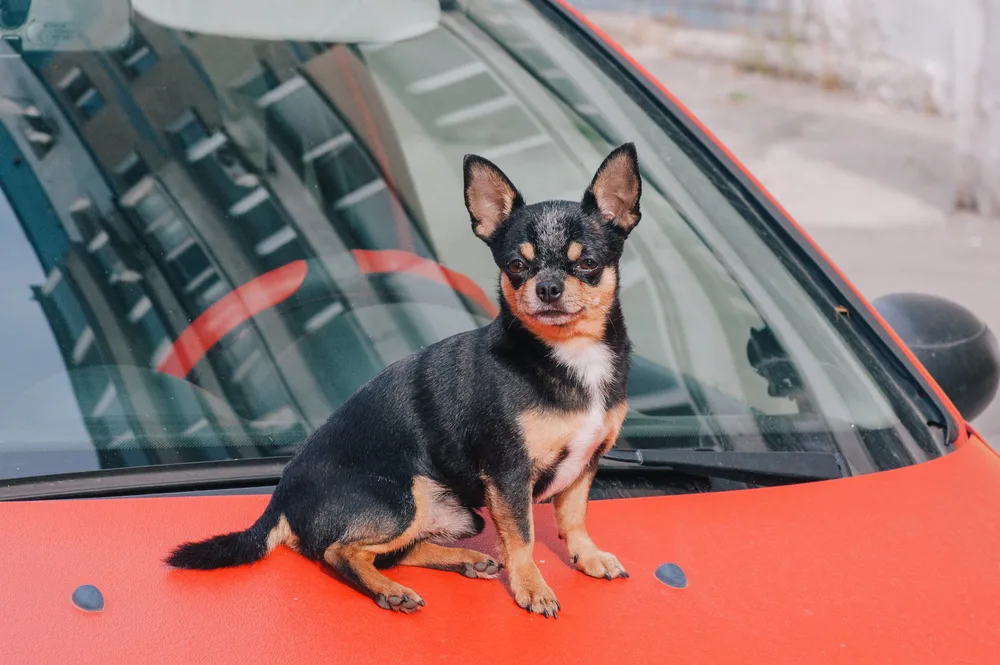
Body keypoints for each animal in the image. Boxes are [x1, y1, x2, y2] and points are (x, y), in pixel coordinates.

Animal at [167, 141, 640, 616]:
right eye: (515, 266)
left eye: (589, 263)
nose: (547, 287)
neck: (568, 354)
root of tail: (279, 499)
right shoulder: (508, 473)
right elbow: (522, 535)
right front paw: (532, 587)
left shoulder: (584, 463)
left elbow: (574, 517)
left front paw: (588, 556)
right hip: (400, 498)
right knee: (342, 551)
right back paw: (389, 590)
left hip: (453, 513)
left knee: (396, 551)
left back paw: (463, 560)